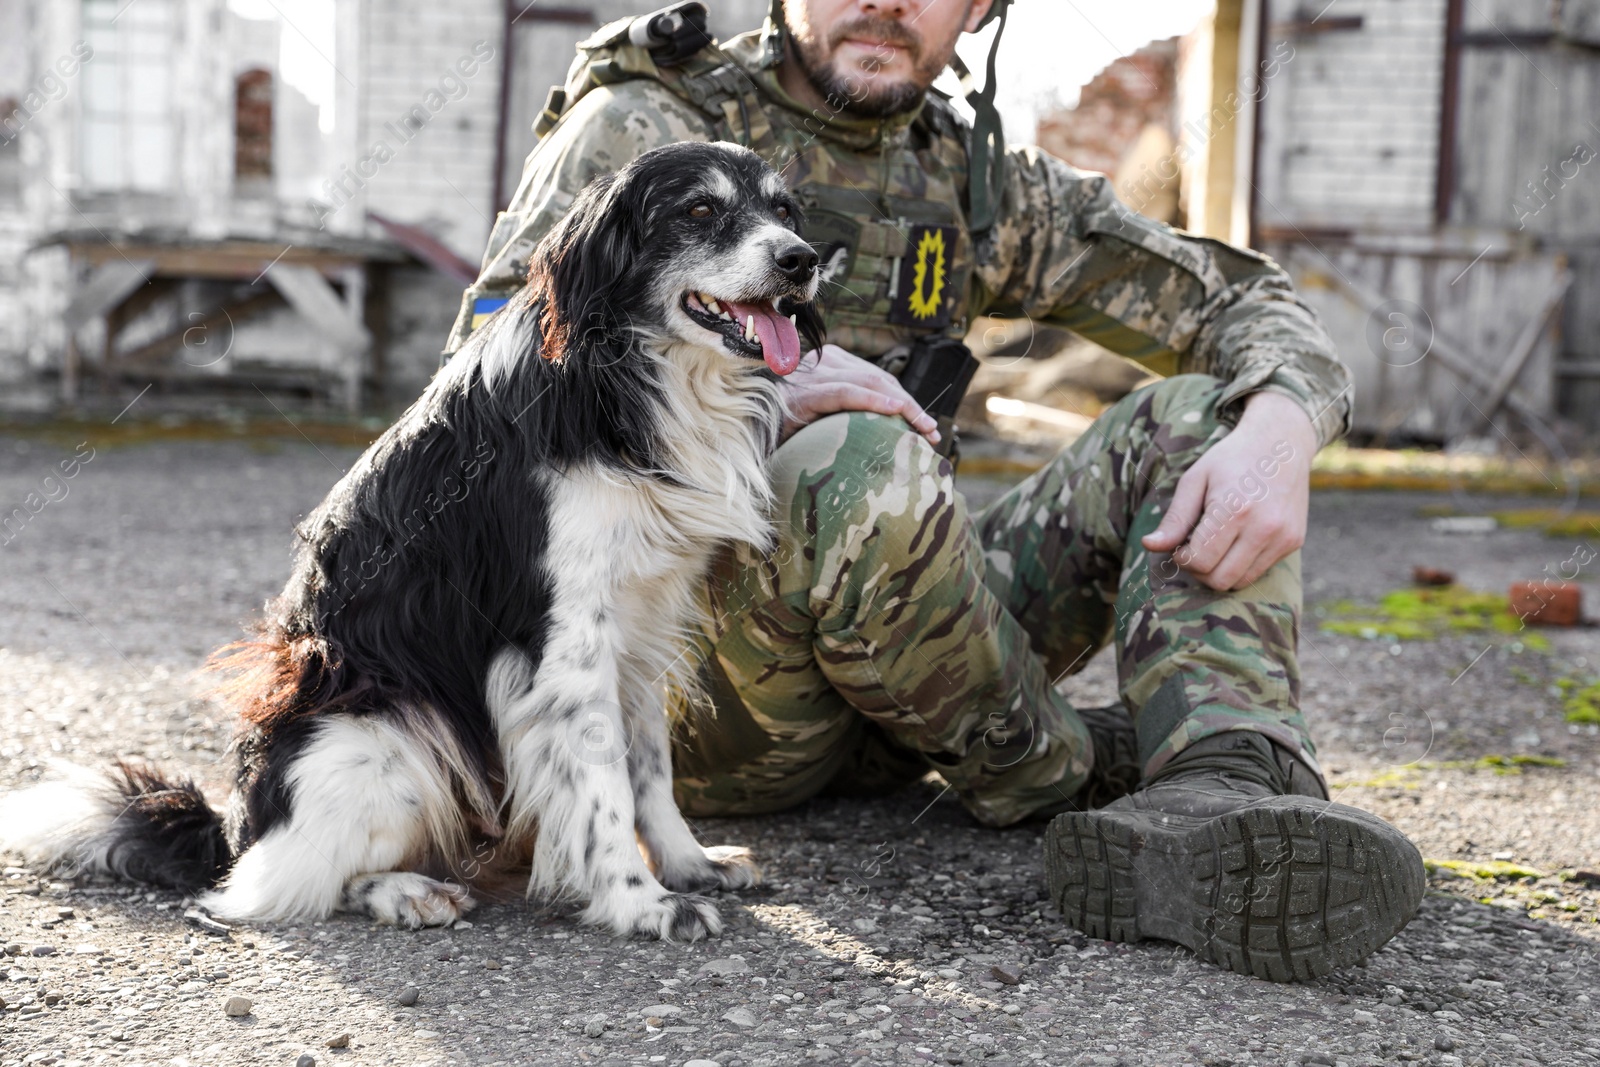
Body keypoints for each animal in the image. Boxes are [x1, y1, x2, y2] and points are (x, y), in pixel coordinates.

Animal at [0, 141, 825, 940]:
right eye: (699, 210)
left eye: (785, 210)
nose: (803, 260)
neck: (628, 377)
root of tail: (233, 828)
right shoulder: (566, 641)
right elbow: (604, 787)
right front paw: (638, 901)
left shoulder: (644, 621)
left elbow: (649, 768)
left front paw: (687, 864)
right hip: (389, 730)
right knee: (278, 884)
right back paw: (405, 892)